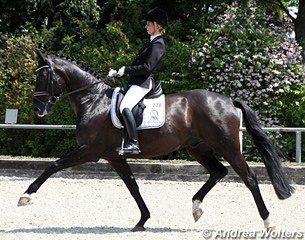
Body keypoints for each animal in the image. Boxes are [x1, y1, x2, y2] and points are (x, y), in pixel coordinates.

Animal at [17, 51, 294, 232]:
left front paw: (26, 196)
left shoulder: (89, 151)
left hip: (227, 146)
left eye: (43, 77)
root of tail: (228, 101)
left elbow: (53, 165)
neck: (94, 101)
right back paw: (196, 207)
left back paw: (268, 223)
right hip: (197, 147)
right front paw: (142, 221)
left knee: (249, 178)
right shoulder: (114, 156)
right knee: (218, 172)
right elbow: (133, 186)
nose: (37, 109)